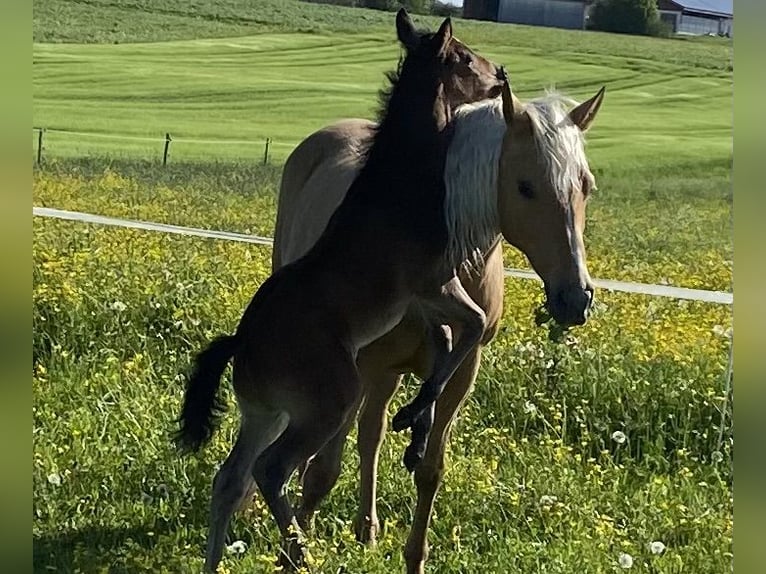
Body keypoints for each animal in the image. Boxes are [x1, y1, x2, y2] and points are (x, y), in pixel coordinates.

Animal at [174, 10, 506, 572]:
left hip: (262, 411)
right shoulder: (434, 283)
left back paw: (218, 561)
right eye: (463, 58)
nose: (500, 76)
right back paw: (299, 552)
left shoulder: (421, 303)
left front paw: (415, 429)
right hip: (327, 403)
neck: (401, 181)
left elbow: (445, 340)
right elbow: (470, 328)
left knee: (229, 476)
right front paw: (413, 416)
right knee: (271, 469)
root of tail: (243, 344)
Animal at [273, 85, 605, 573]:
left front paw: (414, 557)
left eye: (586, 186)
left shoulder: (460, 374)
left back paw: (366, 529)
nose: (575, 298)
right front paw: (294, 545)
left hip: (386, 372)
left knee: (371, 434)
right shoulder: (356, 362)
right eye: (526, 187)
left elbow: (429, 470)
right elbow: (323, 472)